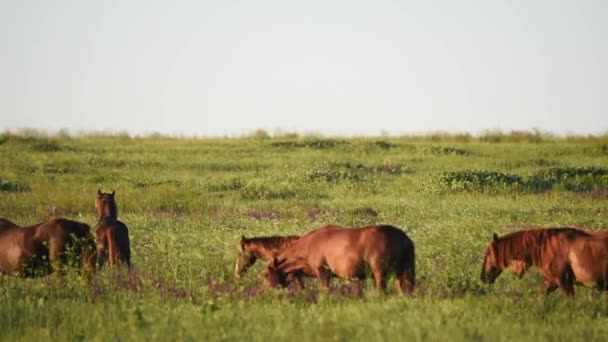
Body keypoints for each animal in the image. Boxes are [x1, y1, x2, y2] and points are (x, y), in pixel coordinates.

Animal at [264, 224, 416, 294]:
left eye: (265, 275)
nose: (264, 292)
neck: (307, 247)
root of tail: (405, 239)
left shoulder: (321, 271)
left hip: (380, 271)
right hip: (402, 272)